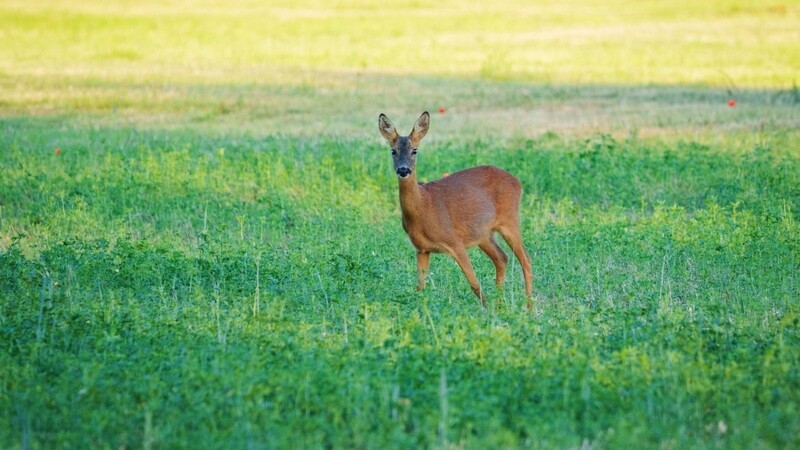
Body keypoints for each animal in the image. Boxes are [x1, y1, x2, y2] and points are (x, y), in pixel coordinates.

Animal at [378, 112, 536, 308]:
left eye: (415, 150)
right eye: (393, 151)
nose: (403, 170)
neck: (422, 209)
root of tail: (517, 182)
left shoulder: (454, 242)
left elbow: (474, 284)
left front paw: (486, 309)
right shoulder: (422, 249)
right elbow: (420, 287)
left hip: (510, 220)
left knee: (525, 260)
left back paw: (528, 307)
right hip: (483, 234)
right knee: (502, 258)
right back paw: (500, 303)